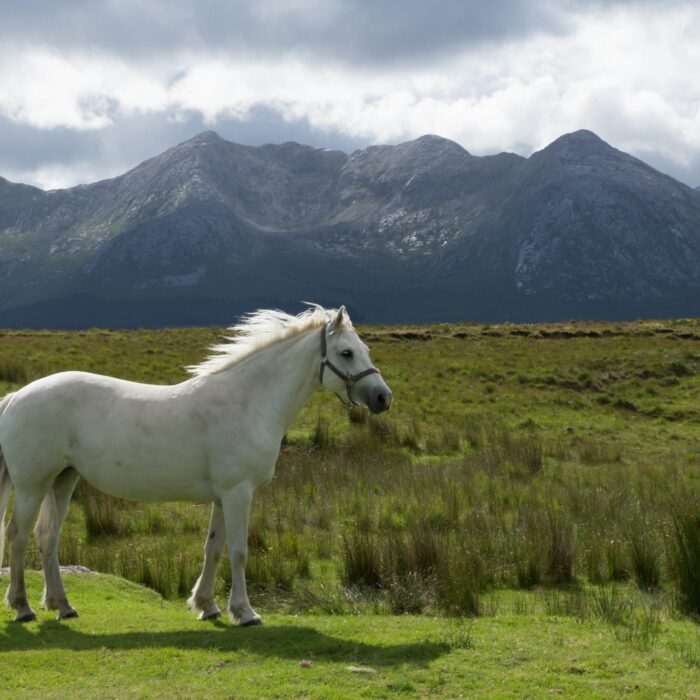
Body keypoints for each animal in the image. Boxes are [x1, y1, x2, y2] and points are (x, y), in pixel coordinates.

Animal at [0, 305, 392, 625]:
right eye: (346, 352)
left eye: (366, 350)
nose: (383, 397)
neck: (246, 401)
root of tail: (17, 396)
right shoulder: (238, 494)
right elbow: (238, 551)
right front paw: (245, 612)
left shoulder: (223, 497)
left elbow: (214, 549)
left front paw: (208, 605)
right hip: (32, 486)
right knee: (18, 537)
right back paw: (22, 607)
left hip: (62, 481)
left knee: (47, 538)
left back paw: (62, 605)